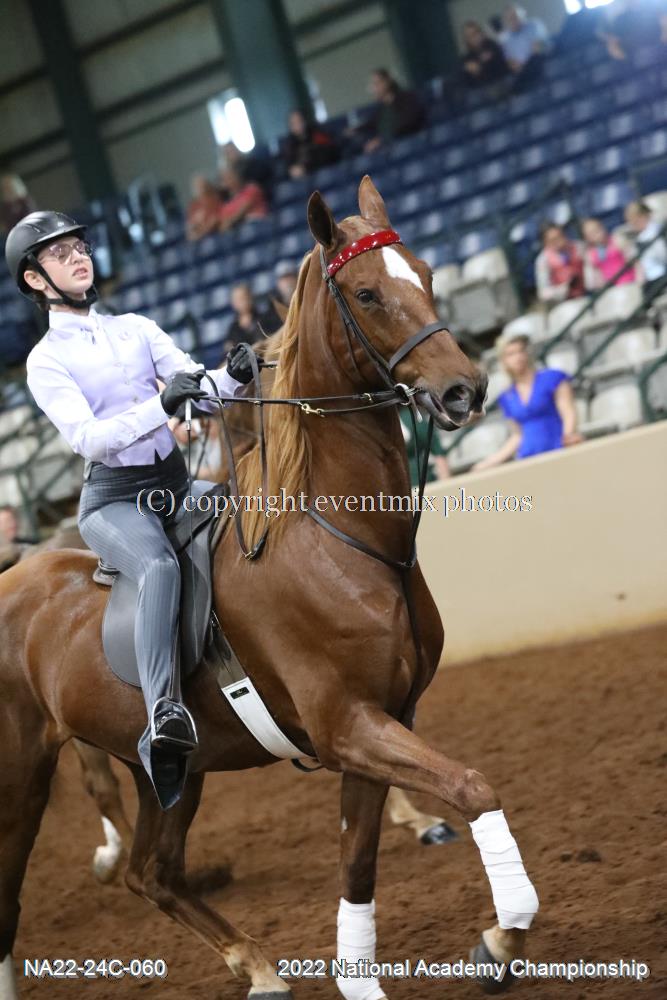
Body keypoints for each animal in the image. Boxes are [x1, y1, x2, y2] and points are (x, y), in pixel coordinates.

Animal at [0, 177, 537, 999]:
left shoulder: (383, 719)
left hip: (166, 771)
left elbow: (358, 864)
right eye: (366, 292)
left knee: (153, 875)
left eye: (424, 274)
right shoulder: (347, 724)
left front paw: (373, 974)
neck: (338, 540)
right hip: (20, 777)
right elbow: (475, 786)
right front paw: (502, 935)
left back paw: (255, 966)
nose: (463, 390)